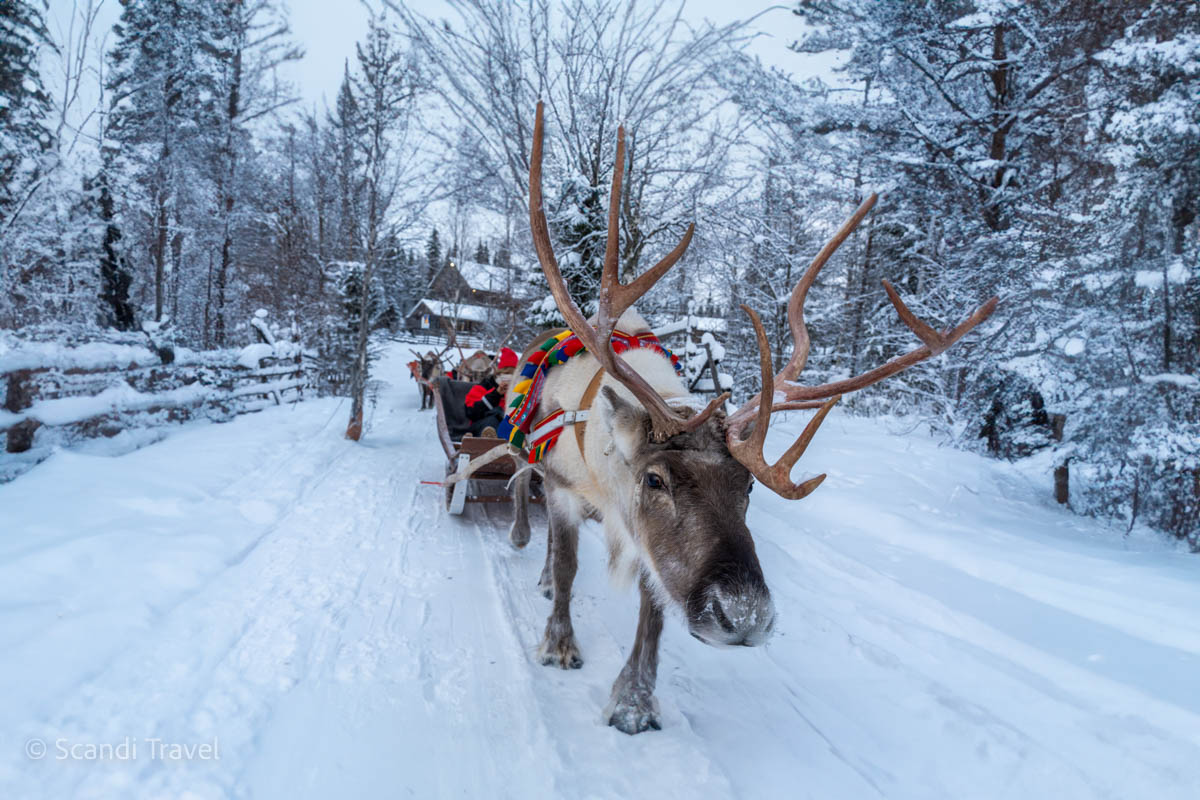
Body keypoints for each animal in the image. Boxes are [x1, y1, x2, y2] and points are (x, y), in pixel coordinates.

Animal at [506, 102, 998, 734]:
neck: (605, 472)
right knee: (524, 494)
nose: (744, 617)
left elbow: (654, 610)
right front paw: (559, 645)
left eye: (749, 487)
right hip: (527, 457)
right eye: (655, 479)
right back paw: (527, 547)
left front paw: (635, 700)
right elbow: (567, 565)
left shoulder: (648, 547)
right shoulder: (567, 491)